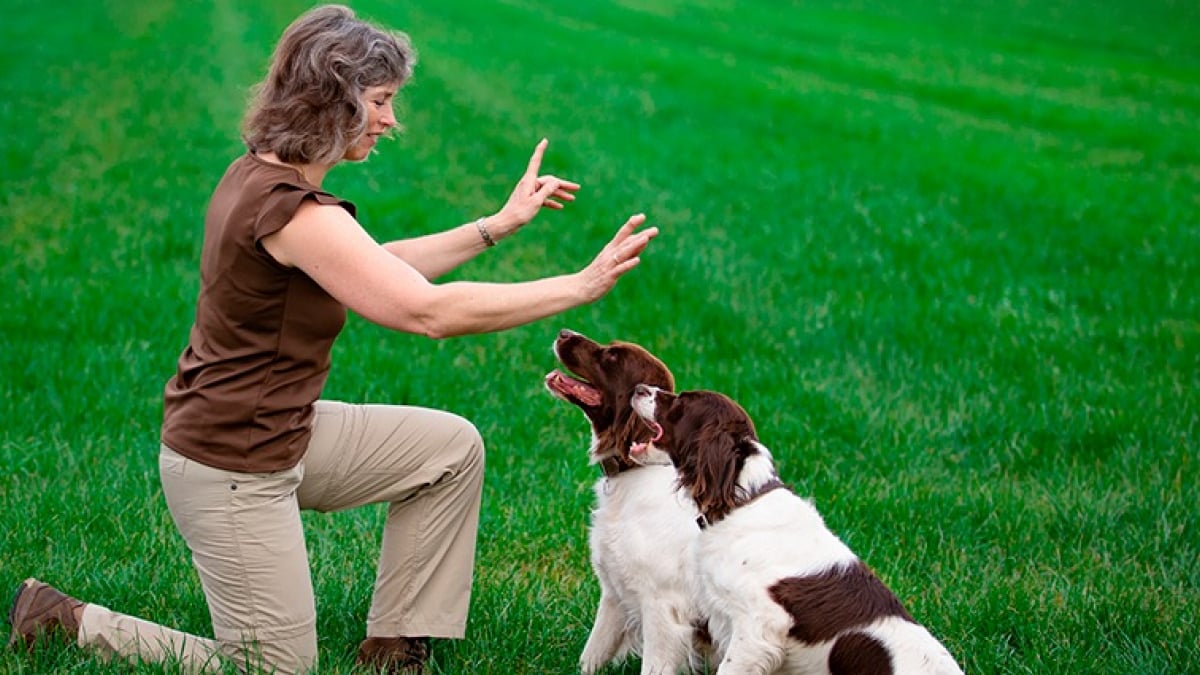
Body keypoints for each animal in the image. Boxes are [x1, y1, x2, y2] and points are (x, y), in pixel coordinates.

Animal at [547, 331, 705, 672]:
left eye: (612, 356)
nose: (563, 333)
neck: (635, 474)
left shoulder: (662, 607)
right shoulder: (614, 596)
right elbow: (590, 655)